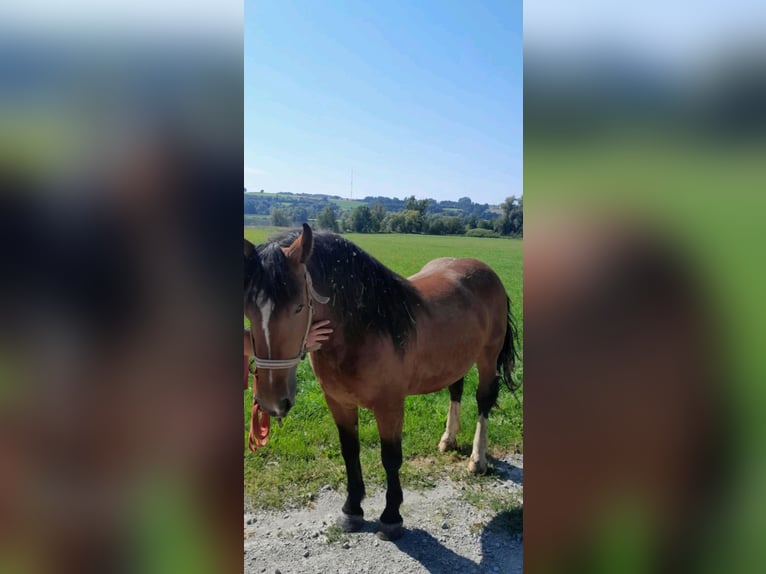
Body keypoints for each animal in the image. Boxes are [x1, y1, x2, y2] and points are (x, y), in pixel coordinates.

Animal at [244, 226, 520, 544]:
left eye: (299, 307)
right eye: (248, 309)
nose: (272, 402)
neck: (363, 330)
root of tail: (486, 271)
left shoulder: (389, 406)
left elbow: (390, 458)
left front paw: (391, 517)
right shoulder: (338, 402)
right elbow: (349, 451)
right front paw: (352, 510)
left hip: (487, 358)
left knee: (484, 400)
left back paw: (477, 459)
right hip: (456, 359)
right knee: (456, 390)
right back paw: (448, 439)